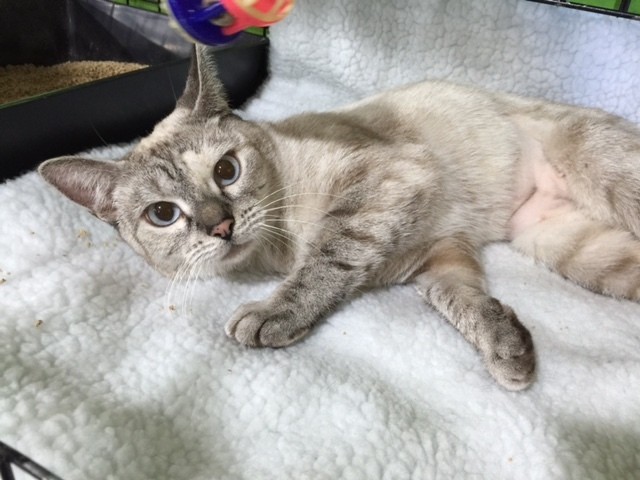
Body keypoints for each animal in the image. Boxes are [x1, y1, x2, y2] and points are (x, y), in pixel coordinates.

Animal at [39, 46, 640, 391]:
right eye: (163, 214)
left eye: (227, 170)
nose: (220, 226)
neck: (275, 253)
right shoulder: (441, 259)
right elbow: (463, 303)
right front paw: (509, 352)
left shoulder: (386, 181)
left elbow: (329, 256)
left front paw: (272, 314)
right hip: (576, 250)